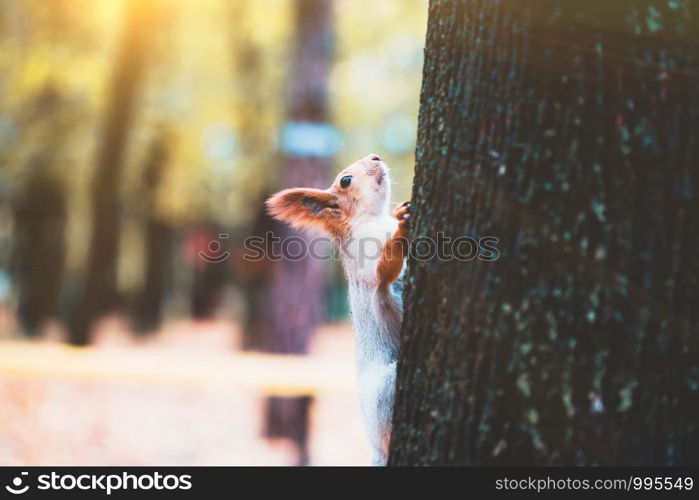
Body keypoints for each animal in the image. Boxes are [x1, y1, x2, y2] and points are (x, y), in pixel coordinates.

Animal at [266, 153, 410, 464]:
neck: (372, 219)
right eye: (345, 180)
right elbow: (384, 272)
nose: (375, 156)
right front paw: (403, 225)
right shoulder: (366, 261)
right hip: (386, 387)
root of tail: (375, 450)